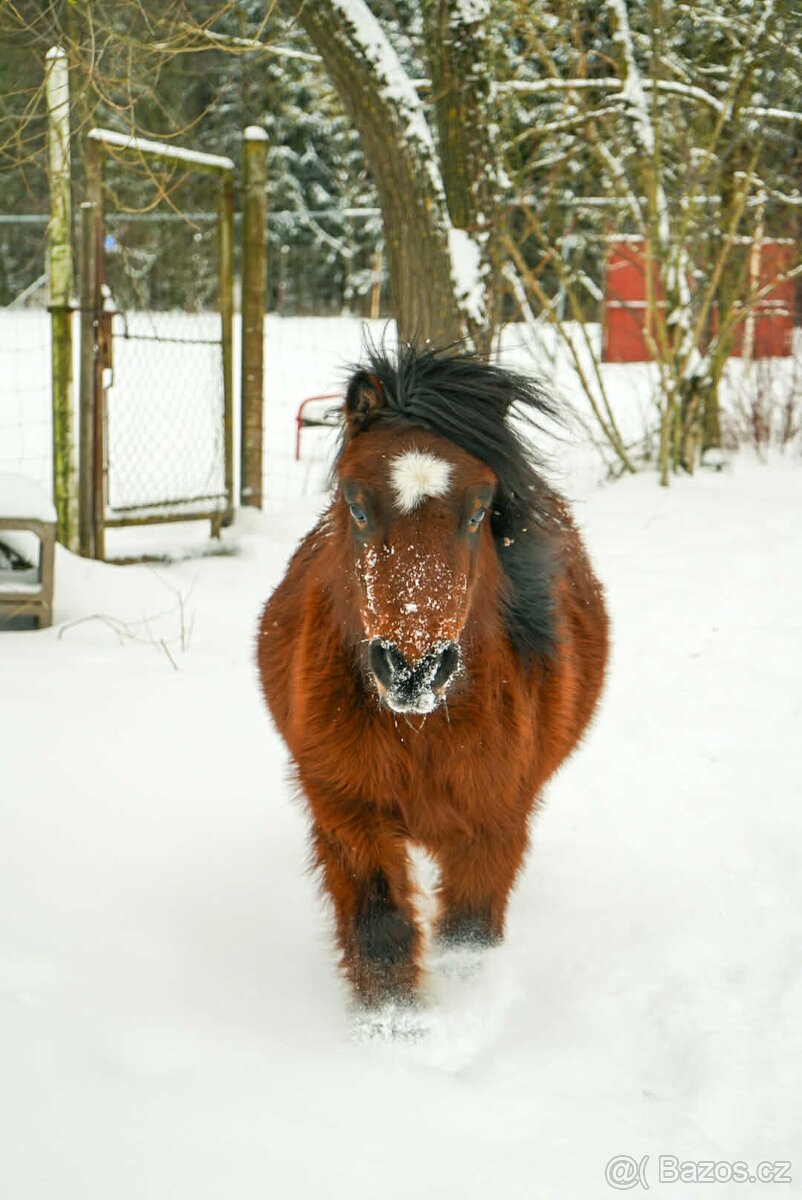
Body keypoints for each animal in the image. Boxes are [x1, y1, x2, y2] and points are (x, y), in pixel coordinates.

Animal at [257, 343, 608, 1008]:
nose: (413, 670)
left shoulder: (495, 823)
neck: (422, 730)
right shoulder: (348, 813)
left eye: (478, 512)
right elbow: (381, 938)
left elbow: (469, 939)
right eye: (355, 504)